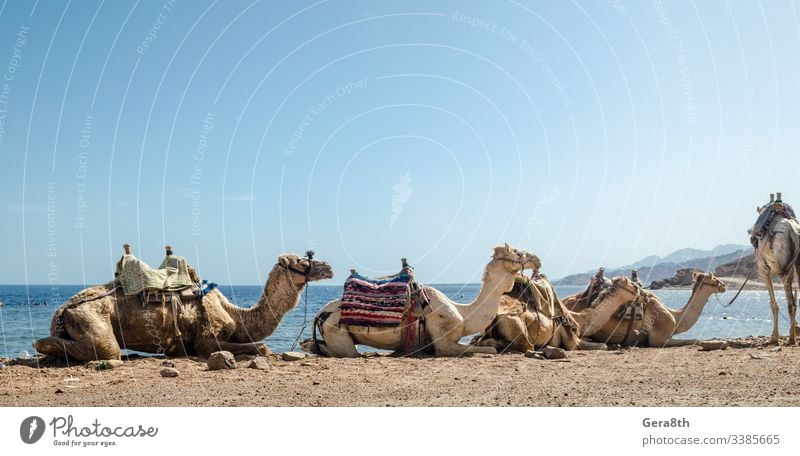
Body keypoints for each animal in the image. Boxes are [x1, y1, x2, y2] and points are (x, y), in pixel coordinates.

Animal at [32, 251, 332, 362]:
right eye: (301, 260)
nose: (328, 267)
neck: (236, 315)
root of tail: (63, 310)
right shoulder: (206, 340)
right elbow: (262, 347)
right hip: (90, 318)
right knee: (105, 349)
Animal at [304, 244, 540, 358]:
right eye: (517, 253)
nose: (537, 259)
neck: (463, 314)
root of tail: (319, 314)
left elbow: (490, 344)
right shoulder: (444, 341)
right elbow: (488, 350)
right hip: (337, 330)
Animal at [476, 274, 644, 352]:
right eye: (632, 284)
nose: (640, 291)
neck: (580, 320)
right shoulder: (572, 341)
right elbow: (603, 345)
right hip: (515, 323)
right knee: (525, 345)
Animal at [752, 193, 800, 346]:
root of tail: (793, 233)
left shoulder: (764, 271)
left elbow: (773, 304)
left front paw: (774, 338)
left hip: (783, 270)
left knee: (790, 303)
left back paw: (791, 339)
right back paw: (792, 337)